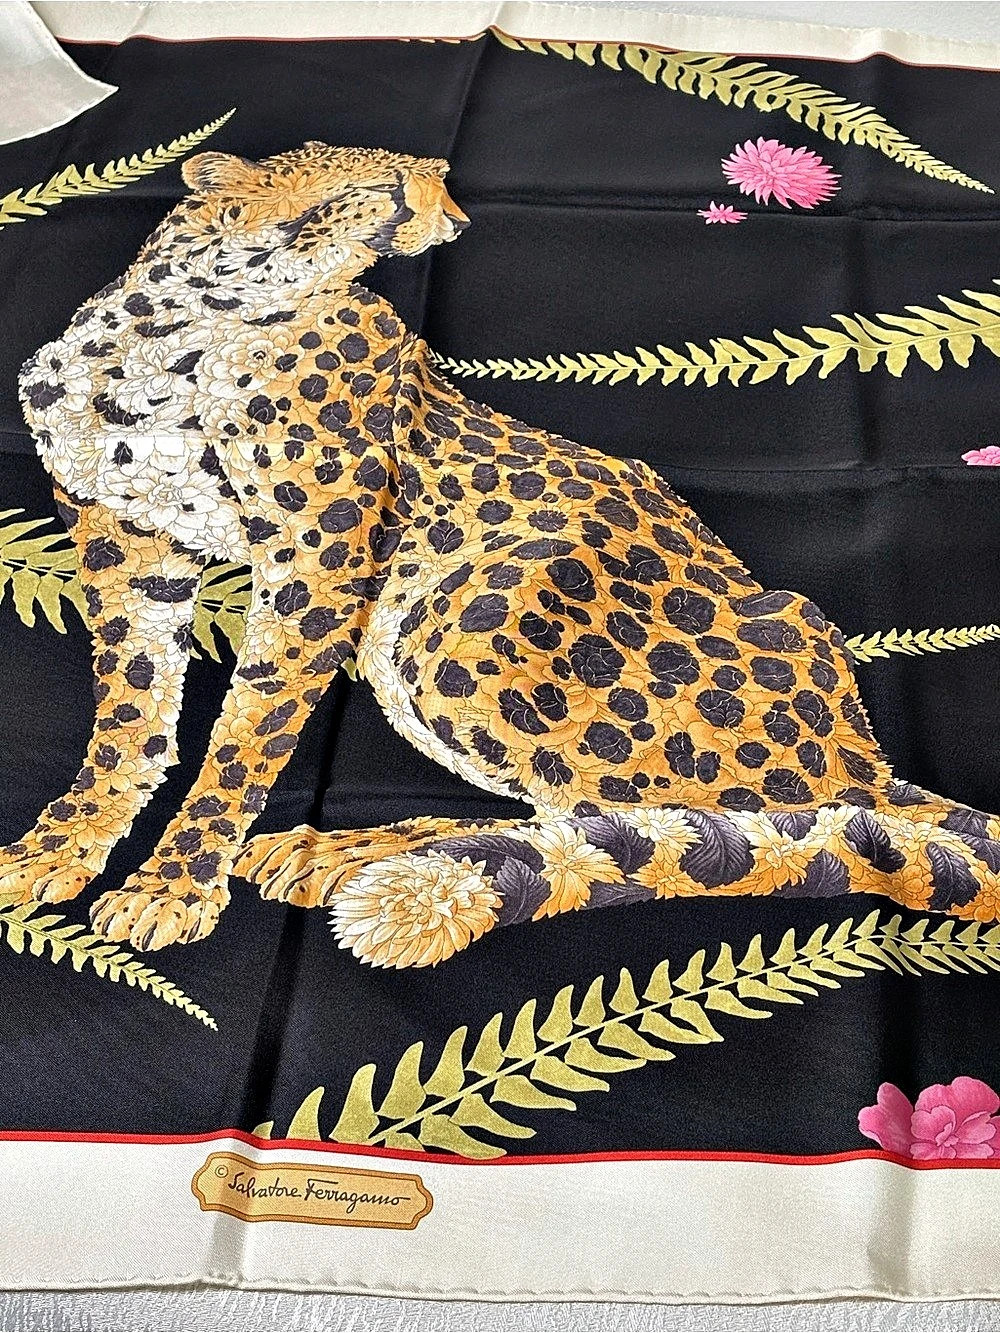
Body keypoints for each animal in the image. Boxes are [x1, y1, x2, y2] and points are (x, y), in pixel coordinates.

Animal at [9, 141, 1000, 968]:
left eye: (430, 180)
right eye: (380, 187)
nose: (451, 217)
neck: (177, 330)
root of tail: (867, 752)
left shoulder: (318, 556)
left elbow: (246, 733)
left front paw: (171, 884)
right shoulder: (123, 537)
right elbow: (130, 709)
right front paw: (65, 845)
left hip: (467, 611)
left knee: (711, 818)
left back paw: (355, 847)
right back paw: (345, 846)